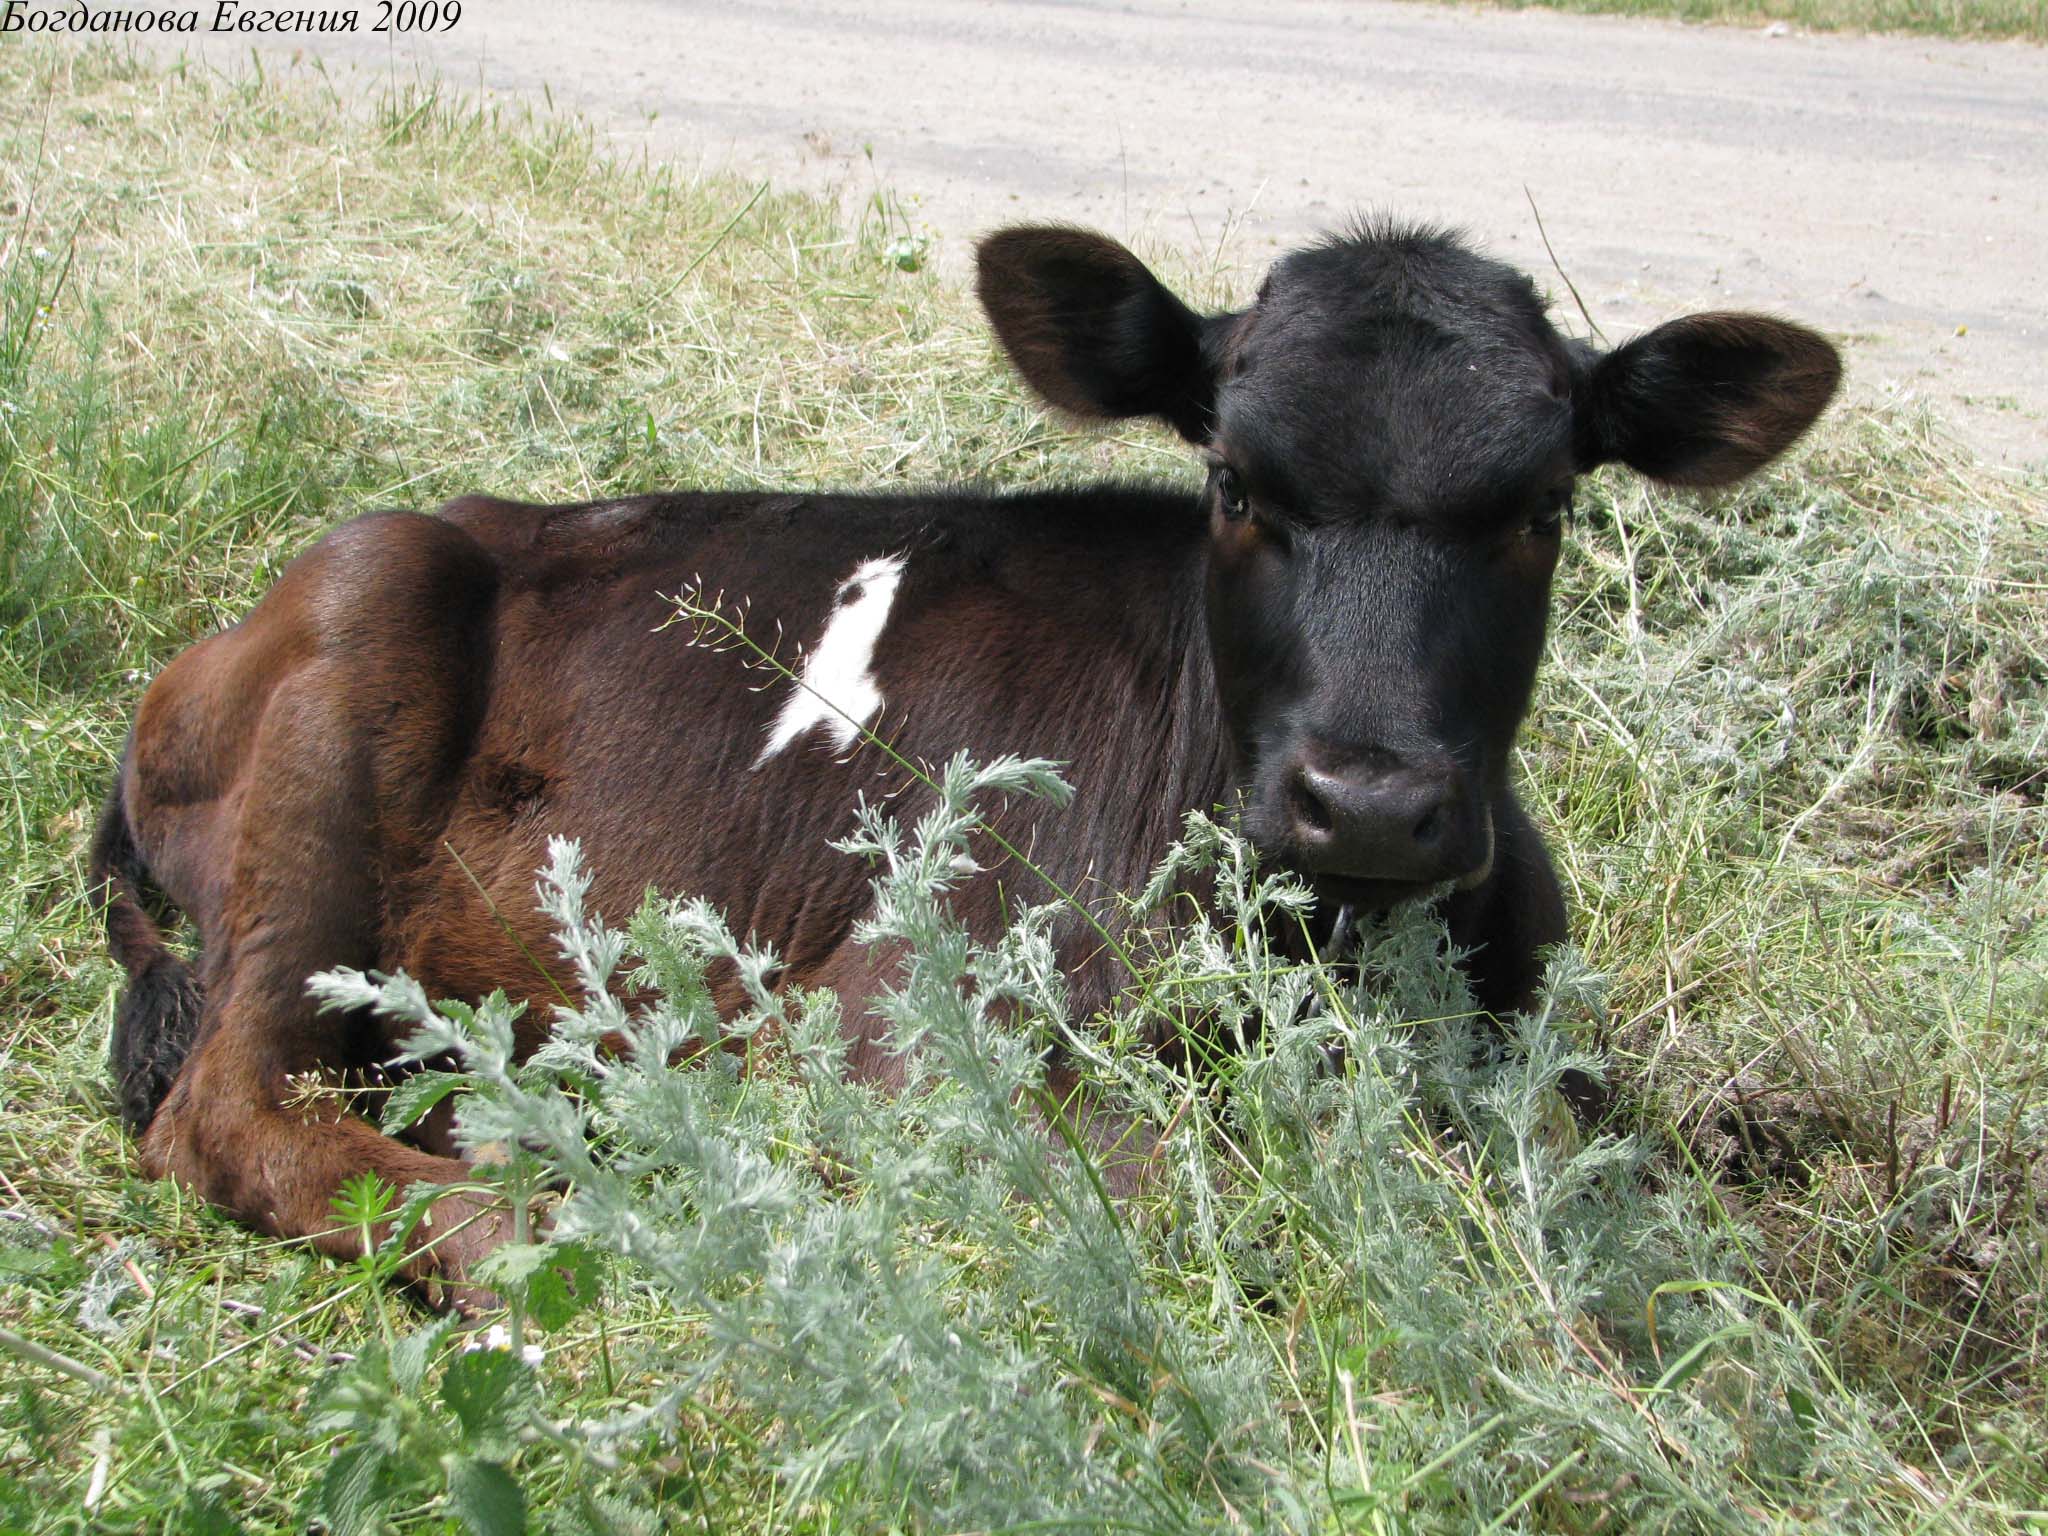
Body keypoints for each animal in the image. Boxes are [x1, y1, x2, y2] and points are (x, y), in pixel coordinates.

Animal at [91, 218, 1841, 1289]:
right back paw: (542, 1220)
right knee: (235, 1109)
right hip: (351, 678)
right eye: (1233, 485)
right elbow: (1167, 1198)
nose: (1372, 802)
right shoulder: (894, 1016)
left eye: (1546, 507)